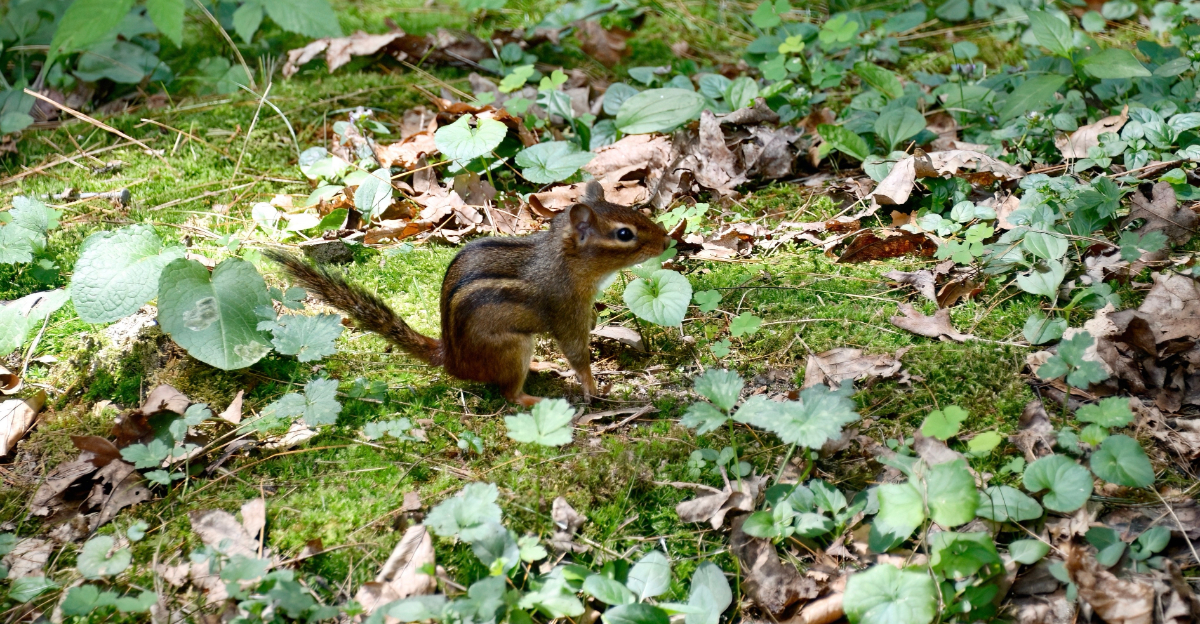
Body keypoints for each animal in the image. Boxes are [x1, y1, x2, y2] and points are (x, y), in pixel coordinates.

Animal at [266, 182, 669, 407]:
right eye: (624, 234)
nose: (668, 241)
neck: (563, 261)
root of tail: (452, 360)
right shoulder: (566, 311)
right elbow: (577, 353)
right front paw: (592, 385)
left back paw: (540, 367)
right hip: (512, 347)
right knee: (508, 395)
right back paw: (533, 396)